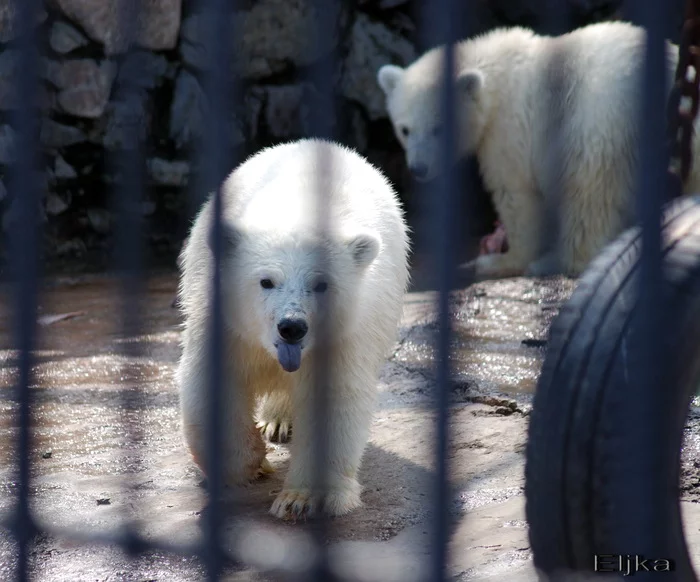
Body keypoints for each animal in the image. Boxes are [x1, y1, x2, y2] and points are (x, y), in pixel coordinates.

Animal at [174, 139, 410, 524]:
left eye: (321, 284)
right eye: (266, 281)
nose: (292, 327)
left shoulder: (344, 333)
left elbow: (332, 400)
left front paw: (303, 499)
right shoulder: (223, 320)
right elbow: (214, 380)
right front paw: (250, 465)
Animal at [378, 20, 700, 280]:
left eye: (439, 128)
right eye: (404, 129)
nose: (419, 169)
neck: (493, 73)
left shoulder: (508, 129)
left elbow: (516, 194)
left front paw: (501, 260)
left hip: (601, 118)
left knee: (589, 192)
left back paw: (554, 262)